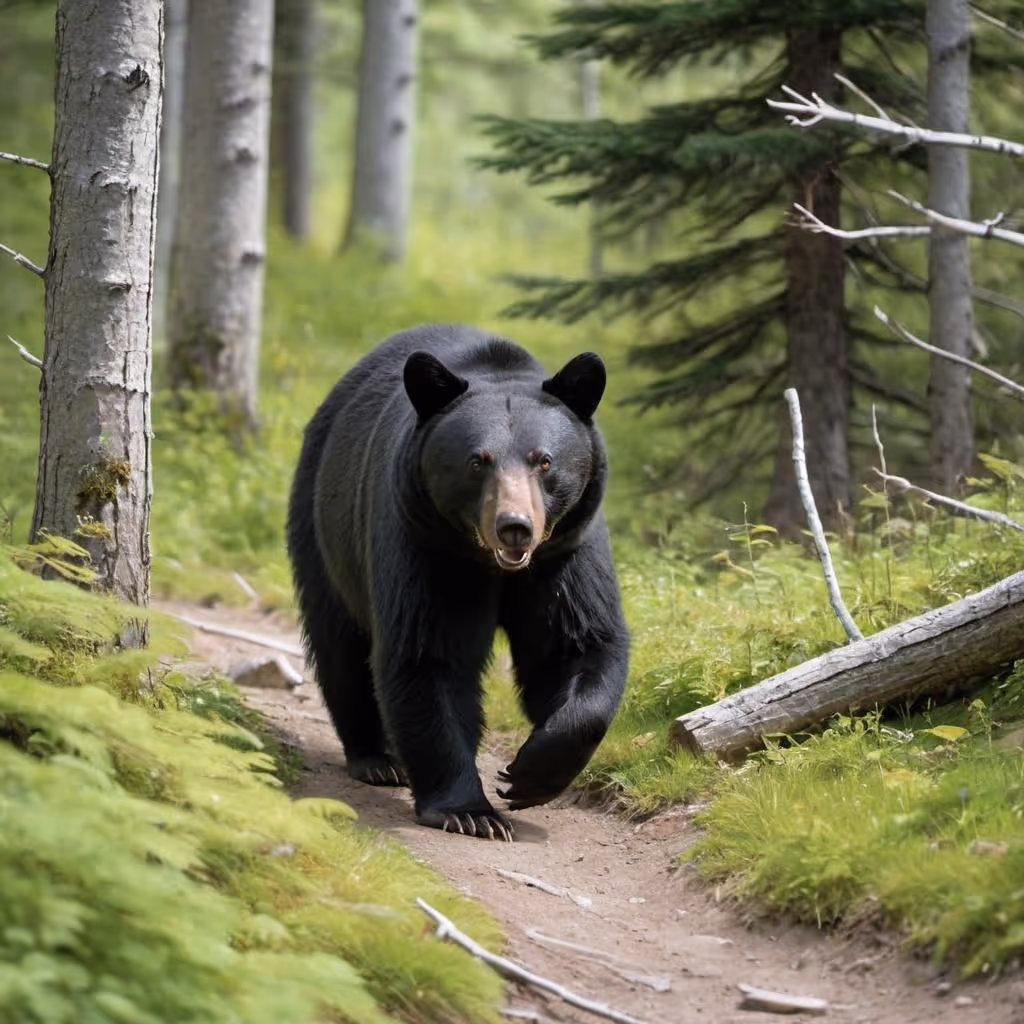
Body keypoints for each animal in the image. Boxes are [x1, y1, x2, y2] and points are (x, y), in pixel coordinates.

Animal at [286, 323, 629, 840]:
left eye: (544, 461)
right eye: (477, 461)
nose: (514, 527)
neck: (495, 567)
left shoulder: (565, 550)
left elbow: (577, 643)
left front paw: (529, 774)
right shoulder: (428, 547)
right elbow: (429, 652)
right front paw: (469, 810)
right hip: (324, 522)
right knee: (339, 641)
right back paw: (375, 758)